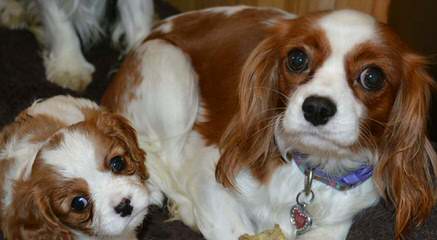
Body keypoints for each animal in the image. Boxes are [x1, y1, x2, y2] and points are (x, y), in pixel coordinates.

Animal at [103, 5, 436, 240]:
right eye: (297, 59)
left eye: (373, 77)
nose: (316, 108)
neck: (311, 167)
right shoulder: (207, 170)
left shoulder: (340, 218)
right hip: (169, 67)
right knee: (154, 154)